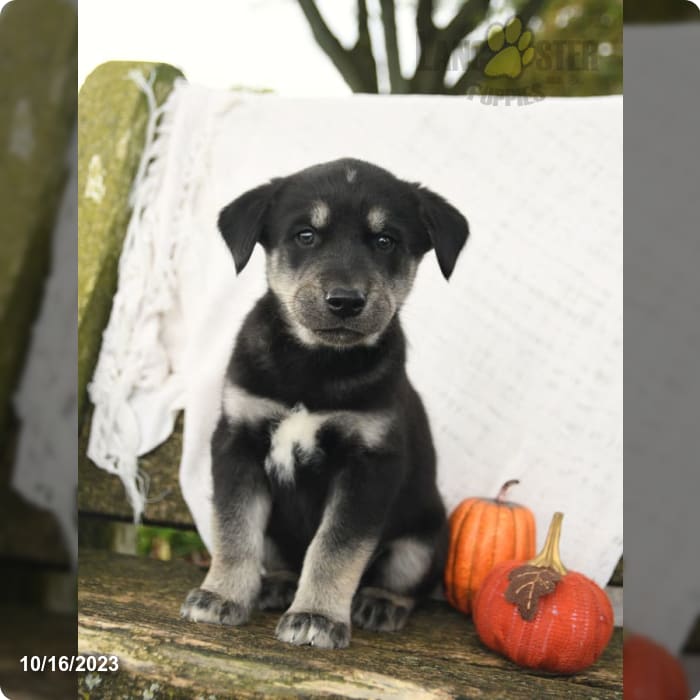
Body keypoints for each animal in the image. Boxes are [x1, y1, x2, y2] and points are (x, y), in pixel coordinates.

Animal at [180, 156, 468, 648]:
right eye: (305, 235)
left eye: (385, 241)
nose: (345, 302)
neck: (314, 365)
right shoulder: (238, 443)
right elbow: (234, 529)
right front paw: (221, 596)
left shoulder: (367, 466)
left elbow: (336, 548)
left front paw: (316, 617)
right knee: (277, 556)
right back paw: (274, 585)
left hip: (423, 539)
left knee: (404, 581)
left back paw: (380, 604)